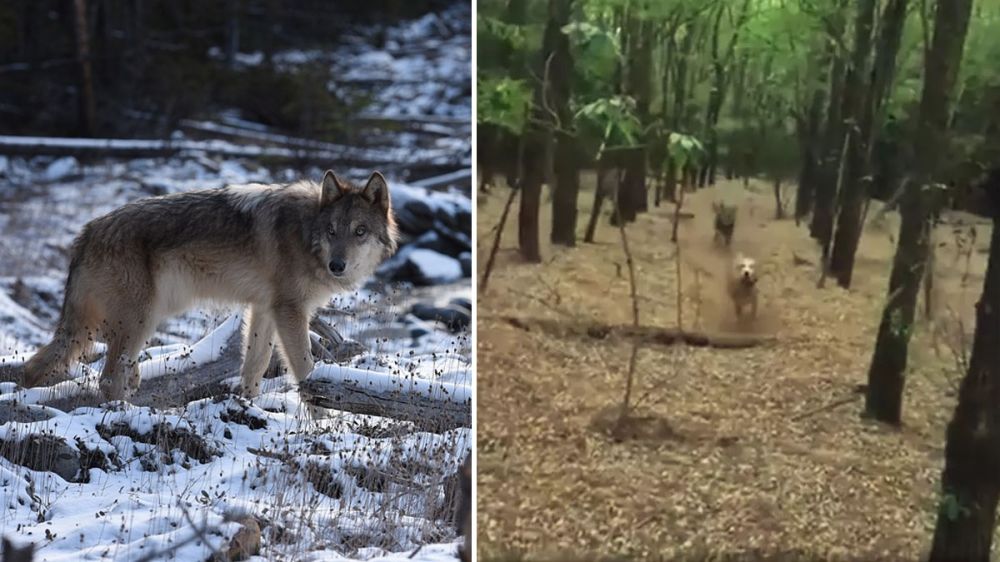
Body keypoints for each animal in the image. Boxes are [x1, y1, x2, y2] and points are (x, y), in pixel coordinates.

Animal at [20, 170, 398, 398]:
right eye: (332, 231)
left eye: (359, 231)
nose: (337, 265)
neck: (306, 234)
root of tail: (87, 231)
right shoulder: (290, 311)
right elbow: (306, 369)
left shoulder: (264, 309)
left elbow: (254, 365)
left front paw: (247, 405)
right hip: (140, 321)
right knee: (109, 377)